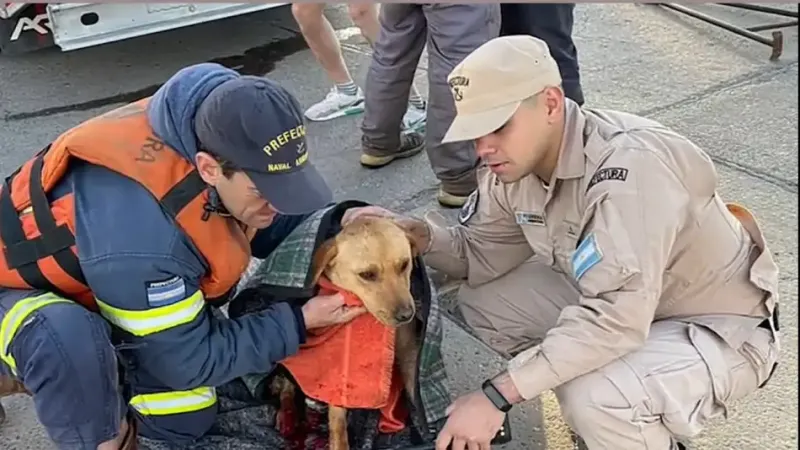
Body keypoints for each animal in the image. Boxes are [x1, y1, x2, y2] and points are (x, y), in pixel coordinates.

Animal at [272, 216, 422, 448]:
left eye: (404, 265)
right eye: (367, 275)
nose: (406, 315)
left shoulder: (409, 355)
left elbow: (414, 390)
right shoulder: (340, 376)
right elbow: (338, 426)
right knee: (286, 386)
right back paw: (288, 415)